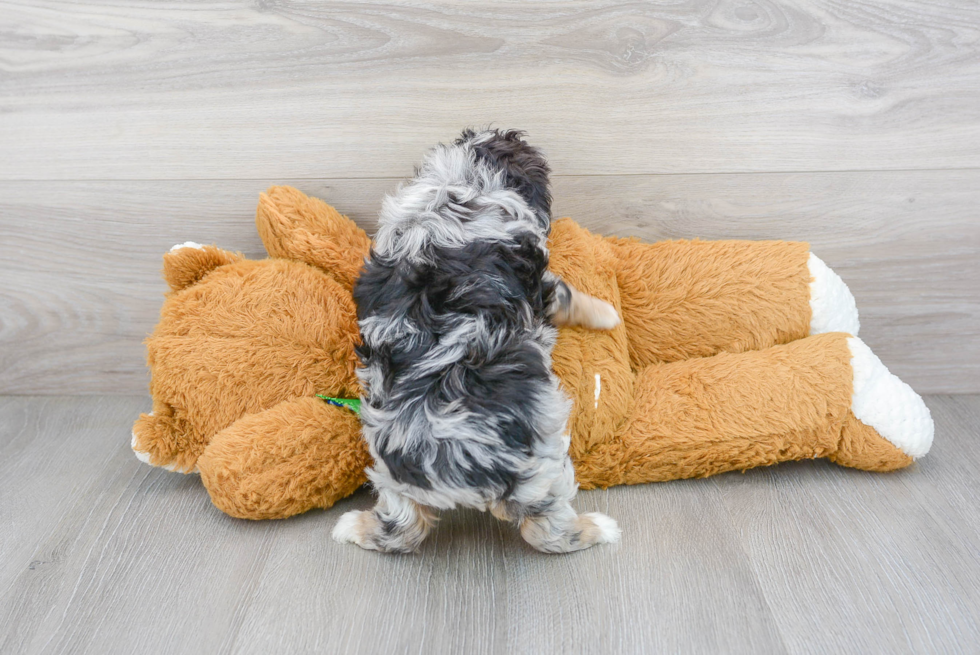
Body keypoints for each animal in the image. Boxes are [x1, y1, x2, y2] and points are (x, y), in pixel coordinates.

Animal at [330, 128, 620, 552]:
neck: (460, 187)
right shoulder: (541, 284)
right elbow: (570, 295)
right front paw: (607, 313)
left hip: (392, 476)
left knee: (401, 530)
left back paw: (352, 527)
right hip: (542, 471)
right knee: (547, 533)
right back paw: (599, 528)